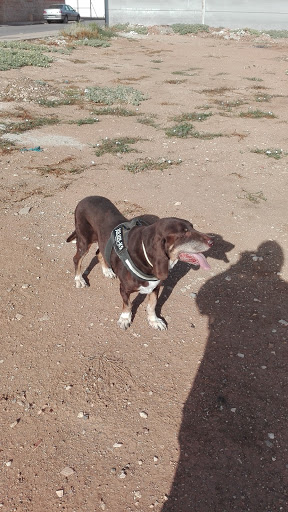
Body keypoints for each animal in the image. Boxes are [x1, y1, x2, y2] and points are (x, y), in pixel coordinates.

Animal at [66, 194, 213, 330]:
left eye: (192, 227)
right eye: (184, 233)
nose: (212, 241)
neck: (144, 257)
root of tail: (85, 198)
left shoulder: (155, 287)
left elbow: (152, 305)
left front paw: (154, 321)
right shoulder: (124, 289)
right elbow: (128, 305)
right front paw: (125, 319)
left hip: (101, 240)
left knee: (99, 253)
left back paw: (107, 270)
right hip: (84, 240)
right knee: (77, 259)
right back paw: (79, 279)